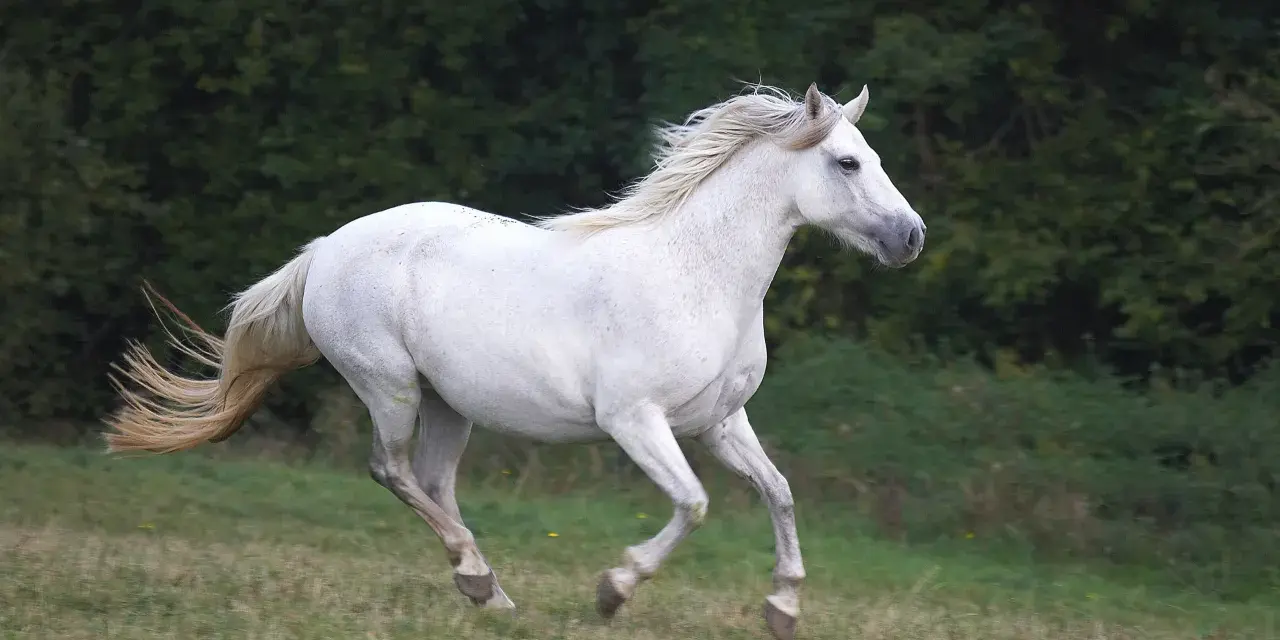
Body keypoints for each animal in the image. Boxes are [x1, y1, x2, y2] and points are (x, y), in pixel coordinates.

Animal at [103, 82, 925, 640]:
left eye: (875, 157)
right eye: (848, 163)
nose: (911, 237)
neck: (695, 273)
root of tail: (325, 249)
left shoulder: (720, 422)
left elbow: (779, 493)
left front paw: (782, 606)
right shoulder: (635, 421)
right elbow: (693, 503)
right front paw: (613, 590)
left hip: (447, 403)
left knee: (432, 480)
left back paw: (491, 593)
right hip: (389, 386)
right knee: (391, 471)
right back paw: (475, 577)